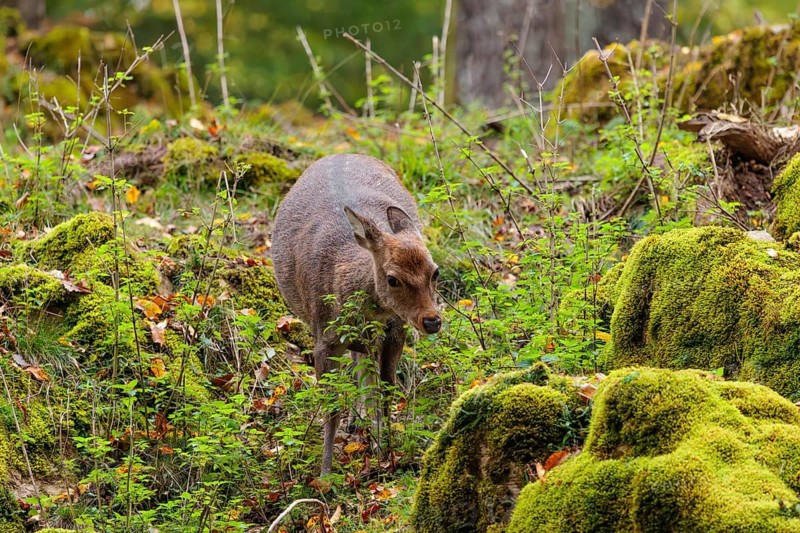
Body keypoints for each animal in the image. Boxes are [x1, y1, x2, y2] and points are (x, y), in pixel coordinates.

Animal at [271, 154, 442, 476]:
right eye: (392, 278)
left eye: (435, 271)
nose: (432, 320)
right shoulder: (323, 339)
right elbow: (331, 407)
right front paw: (325, 472)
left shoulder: (395, 332)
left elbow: (384, 390)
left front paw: (386, 451)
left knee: (362, 370)